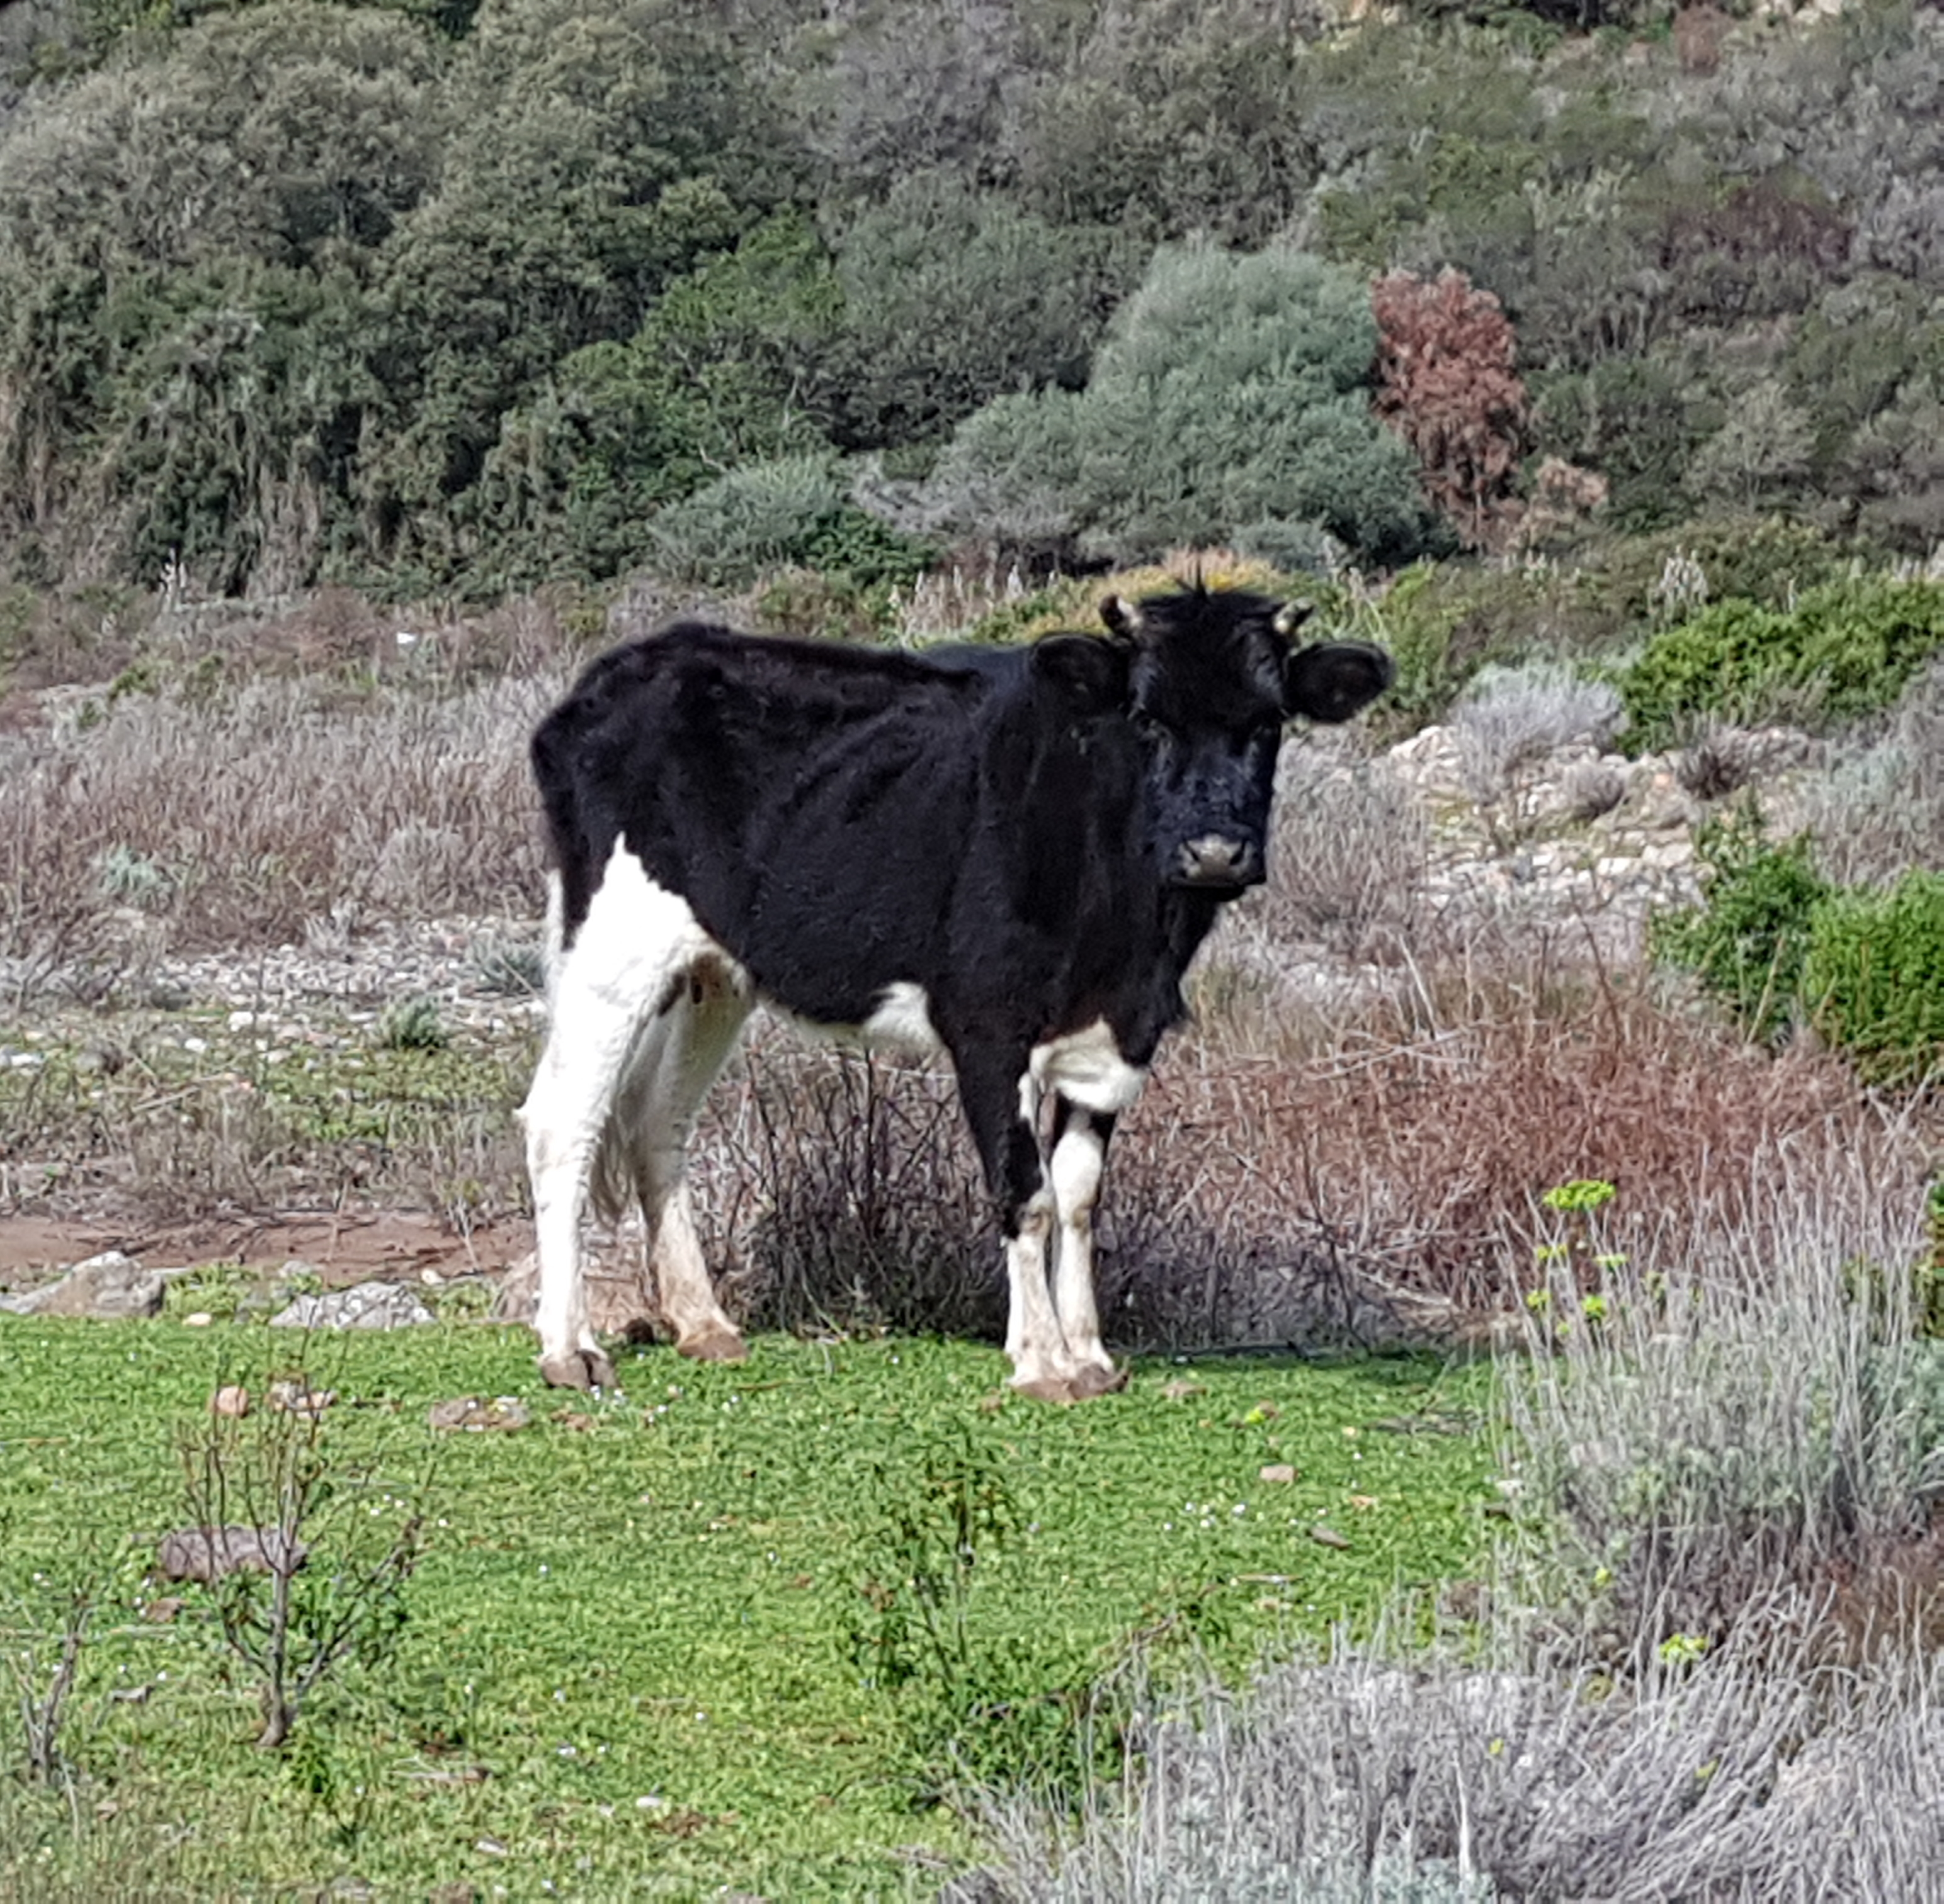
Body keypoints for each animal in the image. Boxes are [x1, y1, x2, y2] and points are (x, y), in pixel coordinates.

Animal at [518, 583, 1392, 1402]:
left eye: (1270, 722)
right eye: (1146, 719)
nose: (1214, 852)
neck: (1131, 949)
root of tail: (620, 670)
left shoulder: (1118, 1040)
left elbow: (1078, 1197)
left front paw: (1090, 1355)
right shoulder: (987, 1026)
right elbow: (1025, 1190)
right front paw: (1040, 1360)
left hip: (714, 974)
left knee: (656, 1124)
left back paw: (702, 1322)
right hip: (611, 947)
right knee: (562, 1123)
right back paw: (570, 1348)